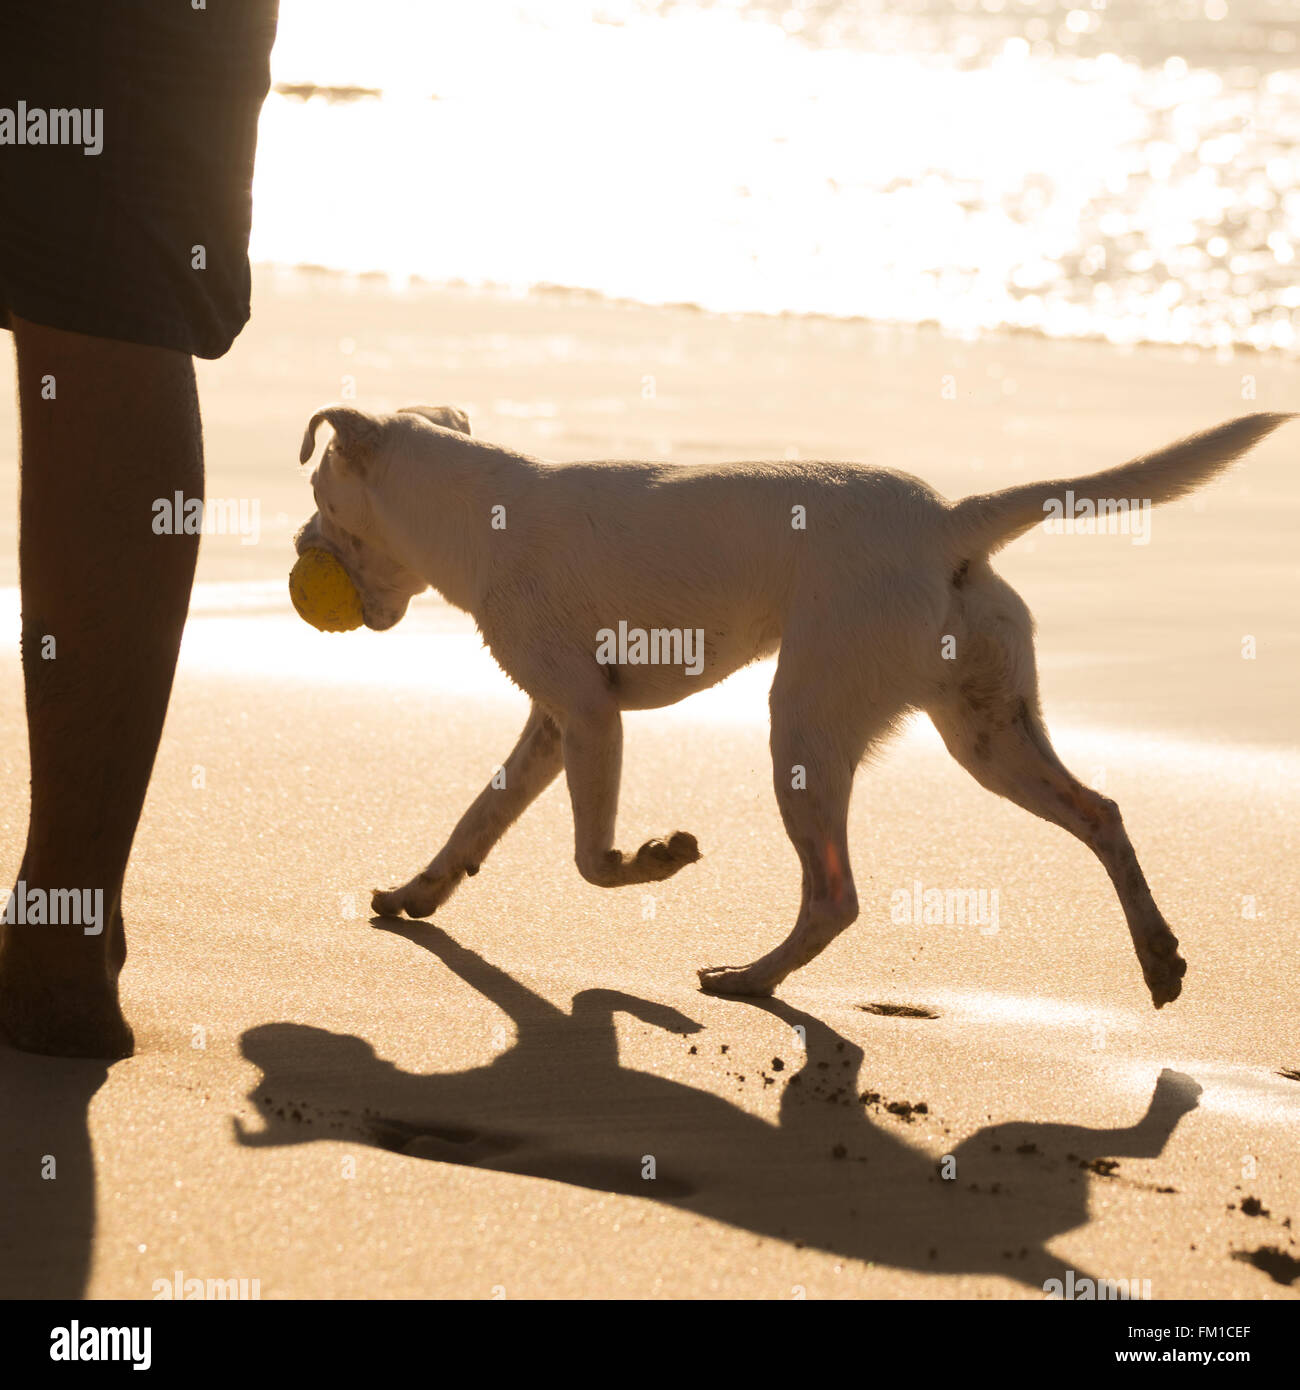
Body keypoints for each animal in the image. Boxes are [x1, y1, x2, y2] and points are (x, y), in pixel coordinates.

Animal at [291, 405, 1290, 1011]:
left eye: (316, 496)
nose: (296, 548)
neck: (479, 510)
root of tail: (947, 521)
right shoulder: (555, 722)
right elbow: (478, 819)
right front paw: (419, 893)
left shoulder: (589, 714)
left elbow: (591, 860)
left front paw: (656, 858)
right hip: (987, 732)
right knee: (1102, 812)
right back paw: (1158, 954)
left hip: (804, 724)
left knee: (834, 894)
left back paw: (752, 978)